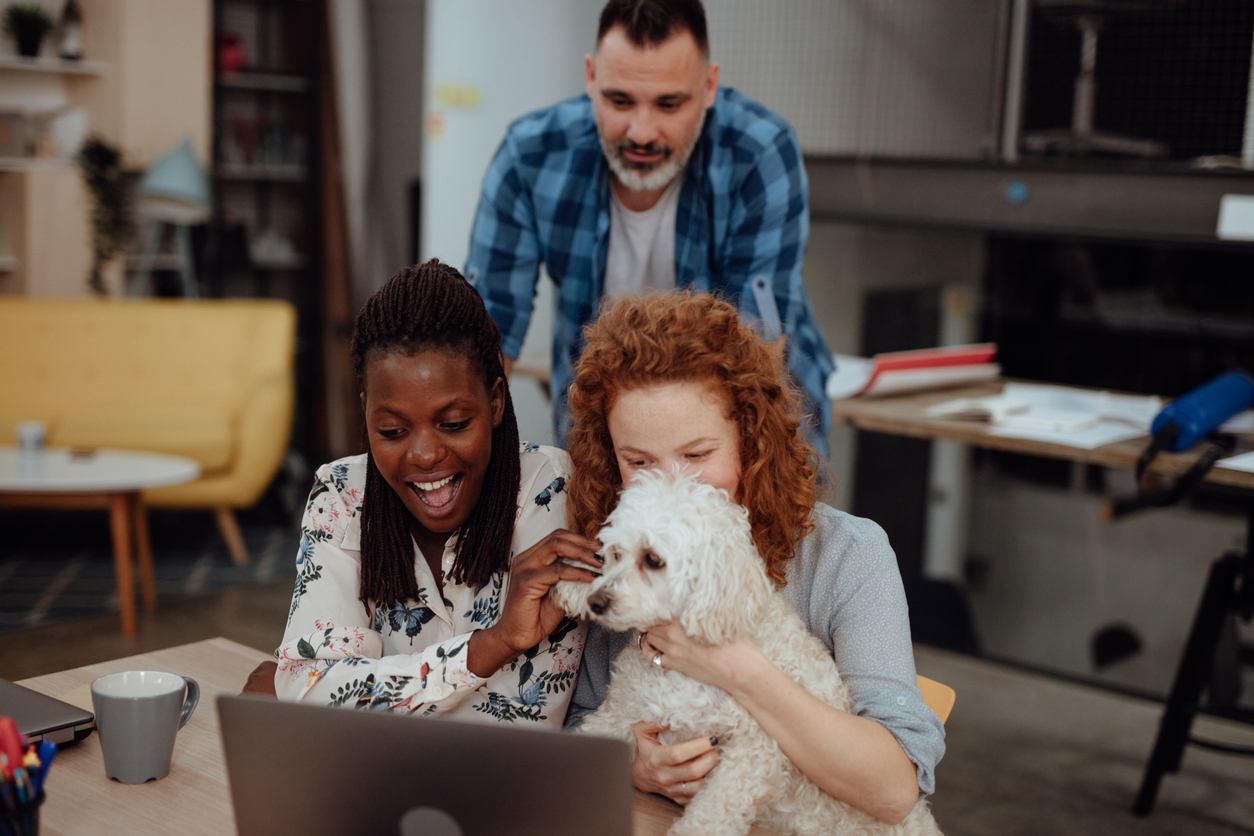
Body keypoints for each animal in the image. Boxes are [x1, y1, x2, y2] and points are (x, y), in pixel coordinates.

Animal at [551, 471, 943, 836]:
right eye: (615, 553)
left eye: (653, 560)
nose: (596, 601)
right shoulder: (621, 714)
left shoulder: (755, 751)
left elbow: (711, 816)